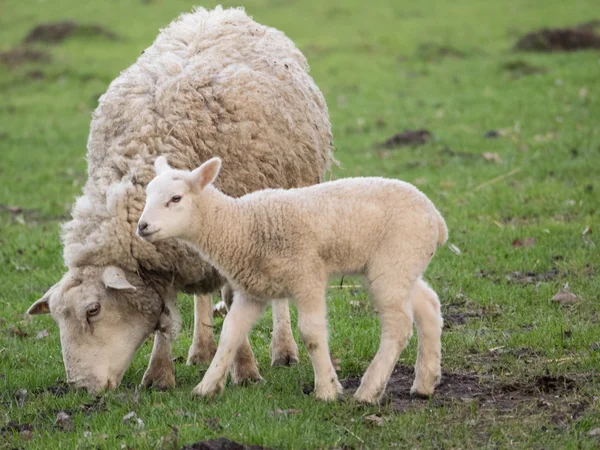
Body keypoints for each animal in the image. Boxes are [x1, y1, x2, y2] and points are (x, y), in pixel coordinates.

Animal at [27, 6, 332, 394]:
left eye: (93, 310)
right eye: (57, 318)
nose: (80, 387)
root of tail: (221, 12)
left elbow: (233, 304)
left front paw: (245, 370)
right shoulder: (167, 255)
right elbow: (167, 312)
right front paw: (159, 374)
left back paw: (283, 350)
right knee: (202, 295)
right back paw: (201, 349)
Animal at [138, 156, 448, 402]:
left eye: (175, 198)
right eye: (147, 194)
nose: (142, 226)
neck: (242, 227)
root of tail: (437, 218)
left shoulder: (307, 276)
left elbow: (312, 334)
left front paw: (327, 389)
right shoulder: (252, 292)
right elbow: (230, 334)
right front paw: (207, 387)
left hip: (393, 261)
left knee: (398, 326)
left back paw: (368, 391)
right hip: (400, 265)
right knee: (429, 304)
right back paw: (425, 383)